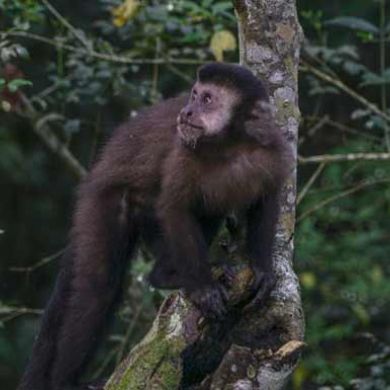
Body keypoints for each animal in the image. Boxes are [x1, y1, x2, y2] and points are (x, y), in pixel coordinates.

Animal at [19, 62, 292, 388]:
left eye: (208, 99)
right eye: (194, 94)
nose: (187, 111)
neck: (230, 145)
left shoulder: (272, 149)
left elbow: (267, 203)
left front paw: (262, 268)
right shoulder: (184, 152)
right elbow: (173, 207)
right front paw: (202, 287)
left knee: (208, 208)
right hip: (103, 202)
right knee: (97, 289)